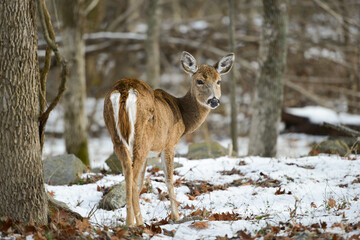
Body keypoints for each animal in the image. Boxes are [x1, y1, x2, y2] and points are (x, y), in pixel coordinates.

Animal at [102, 50, 235, 225]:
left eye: (218, 81)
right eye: (199, 80)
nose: (214, 100)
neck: (183, 116)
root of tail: (124, 91)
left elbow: (142, 183)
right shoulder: (169, 144)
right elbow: (169, 179)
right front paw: (177, 216)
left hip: (116, 137)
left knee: (129, 174)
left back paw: (130, 223)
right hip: (142, 139)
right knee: (132, 176)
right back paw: (137, 224)